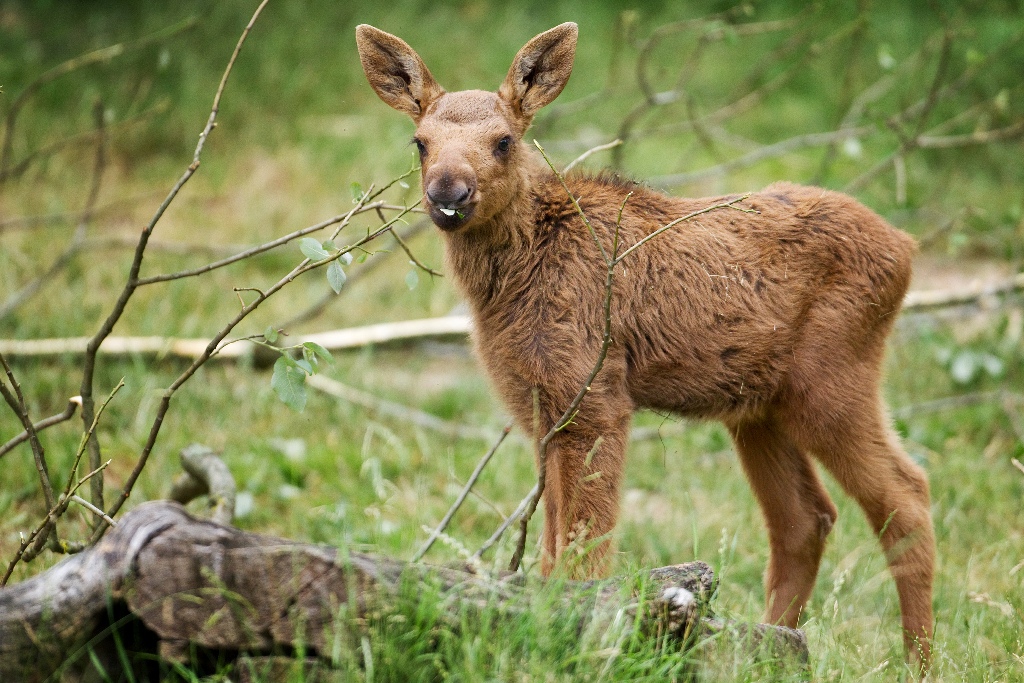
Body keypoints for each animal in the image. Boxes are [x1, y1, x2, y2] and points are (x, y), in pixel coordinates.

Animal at [356, 22, 933, 667]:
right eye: (420, 142)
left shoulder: (597, 397)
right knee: (807, 519)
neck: (520, 276)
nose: (448, 194)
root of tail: (906, 249)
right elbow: (553, 548)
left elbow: (583, 546)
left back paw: (918, 661)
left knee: (907, 496)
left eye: (504, 141)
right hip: (758, 409)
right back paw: (770, 645)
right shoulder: (542, 411)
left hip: (833, 378)